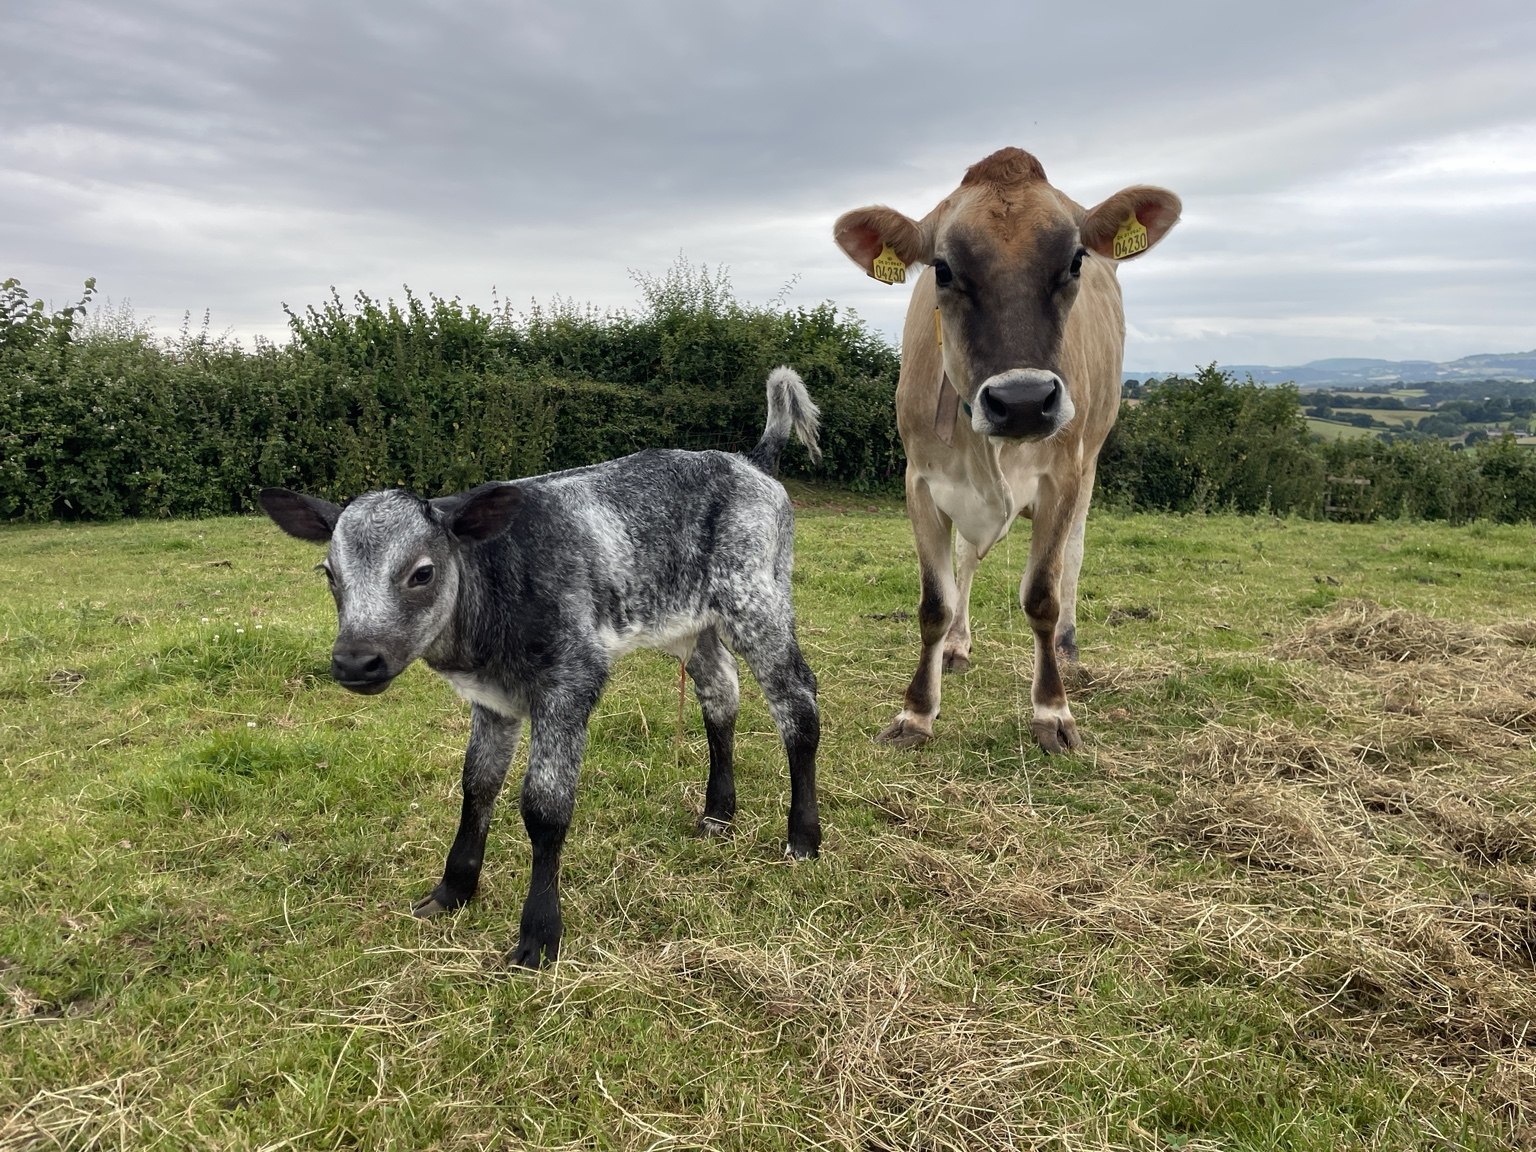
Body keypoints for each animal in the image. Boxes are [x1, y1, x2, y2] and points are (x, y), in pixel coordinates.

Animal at [834, 147, 1181, 753]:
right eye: (942, 268)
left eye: (1075, 261)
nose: (1022, 402)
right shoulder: (920, 480)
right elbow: (936, 600)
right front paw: (917, 711)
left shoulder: (1063, 476)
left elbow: (1042, 595)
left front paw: (1053, 711)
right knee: (968, 560)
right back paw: (958, 645)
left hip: (1090, 461)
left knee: (1073, 559)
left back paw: (1067, 645)